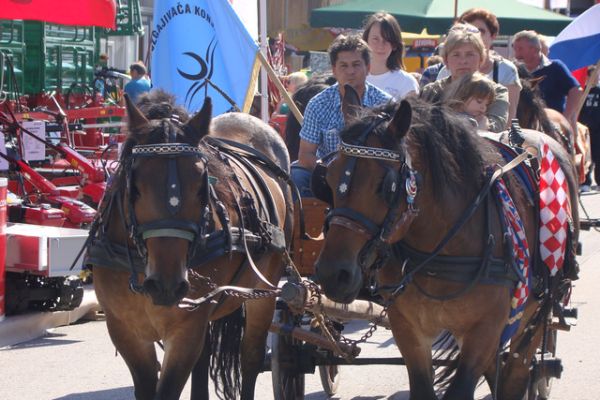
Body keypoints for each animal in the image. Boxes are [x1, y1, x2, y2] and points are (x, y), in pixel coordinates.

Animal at [88, 91, 294, 400]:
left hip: (264, 291)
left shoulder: (186, 330)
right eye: (134, 187)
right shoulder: (124, 330)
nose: (166, 285)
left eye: (201, 187)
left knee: (251, 358)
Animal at [312, 87, 580, 400]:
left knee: (516, 375)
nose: (333, 274)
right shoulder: (409, 329)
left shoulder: (485, 330)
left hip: (533, 316)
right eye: (328, 178)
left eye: (386, 185)